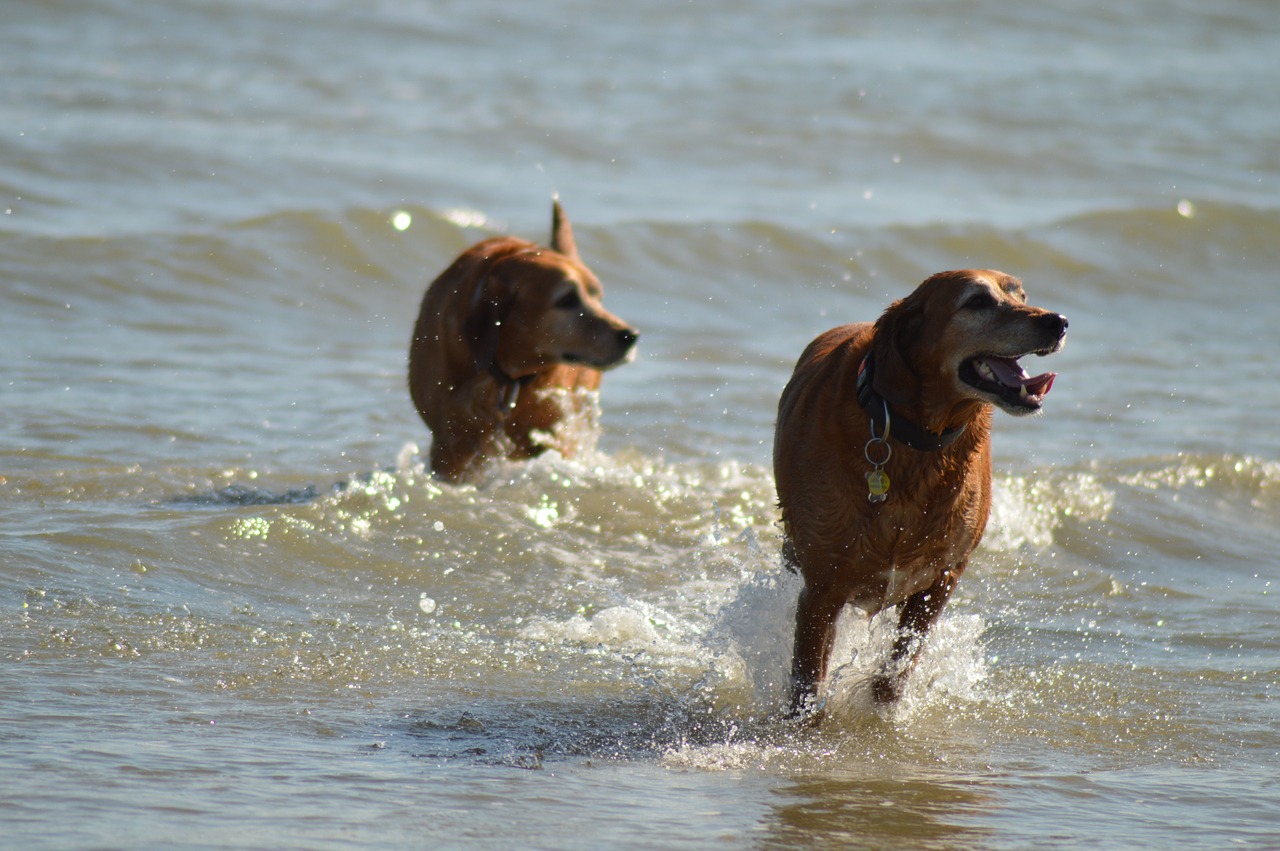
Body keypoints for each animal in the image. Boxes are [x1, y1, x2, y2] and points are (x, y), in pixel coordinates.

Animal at [773, 270, 1064, 711]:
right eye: (977, 301)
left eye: (1022, 296)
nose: (1058, 322)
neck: (915, 437)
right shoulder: (823, 586)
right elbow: (807, 683)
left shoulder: (942, 577)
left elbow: (898, 667)